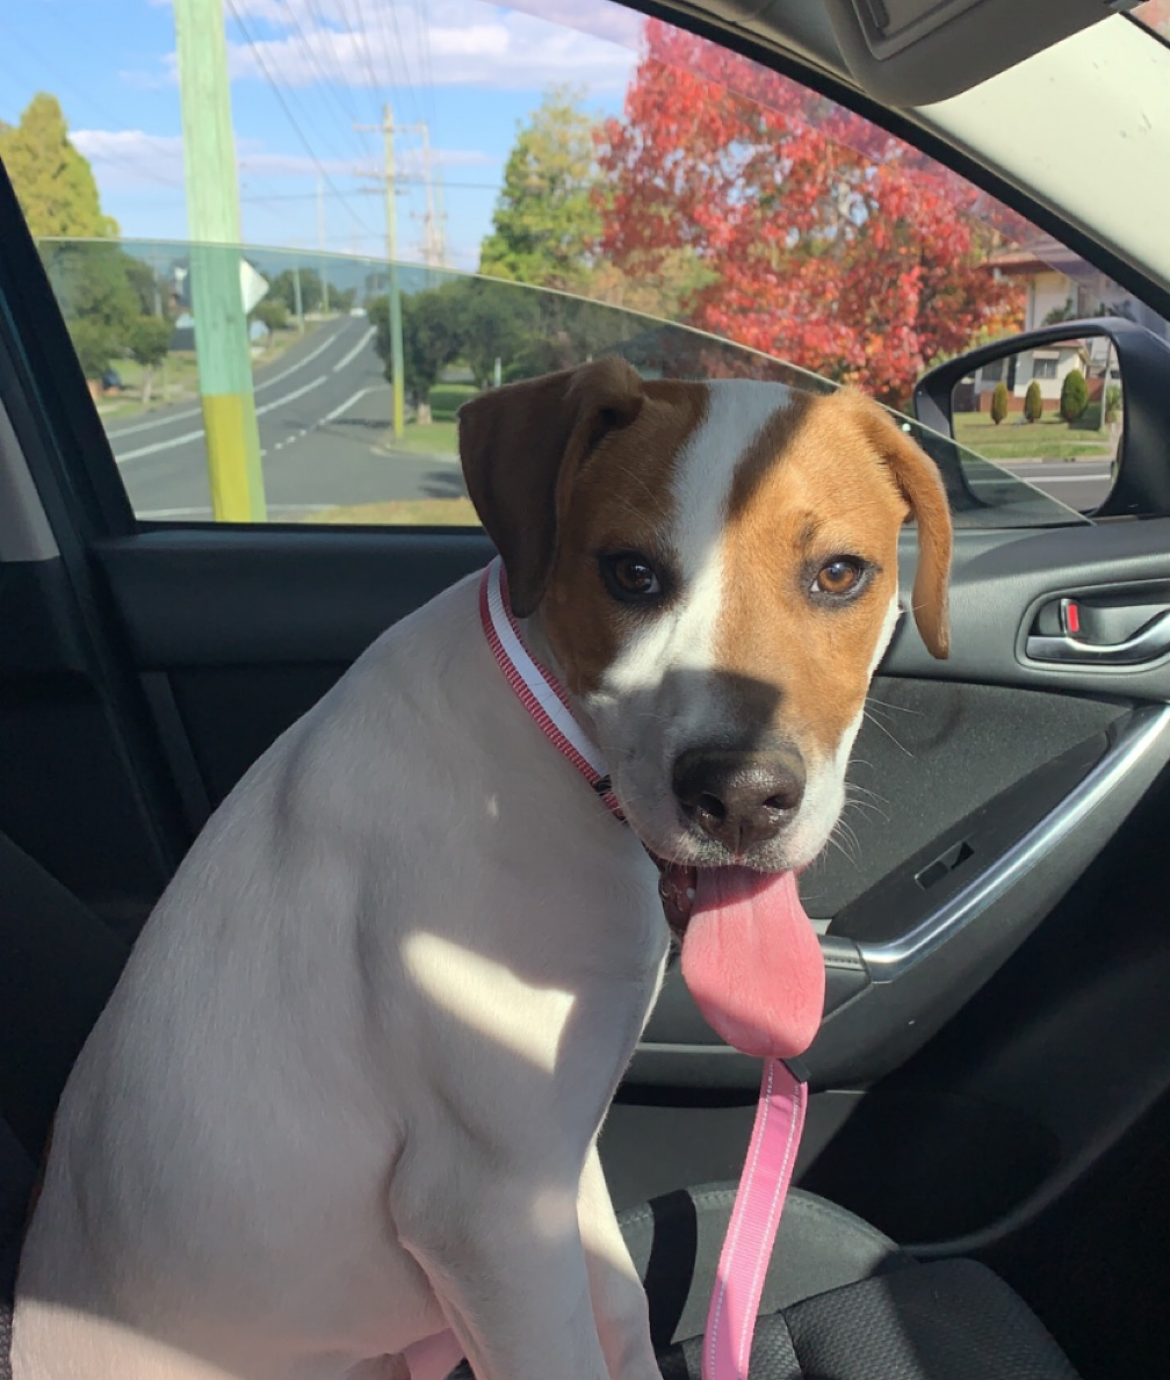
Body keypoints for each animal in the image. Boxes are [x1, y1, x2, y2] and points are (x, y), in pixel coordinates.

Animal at [14, 357, 951, 1380]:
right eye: (631, 572)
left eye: (839, 573)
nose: (740, 796)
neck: (547, 736)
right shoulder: (486, 1212)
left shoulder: (560, 1157)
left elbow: (618, 1302)